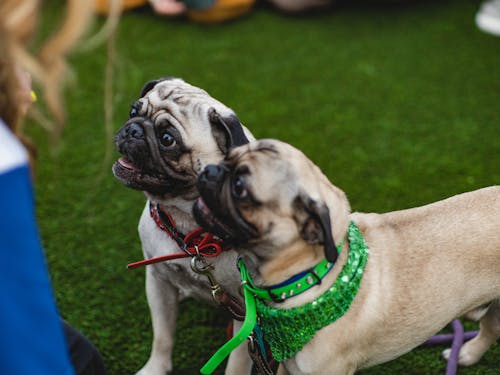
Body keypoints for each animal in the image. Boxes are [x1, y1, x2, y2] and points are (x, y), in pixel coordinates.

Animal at [113, 78, 254, 374]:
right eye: (133, 111)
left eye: (168, 140)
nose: (133, 129)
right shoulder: (158, 282)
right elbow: (163, 335)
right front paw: (156, 367)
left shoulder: (248, 314)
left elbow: (236, 362)